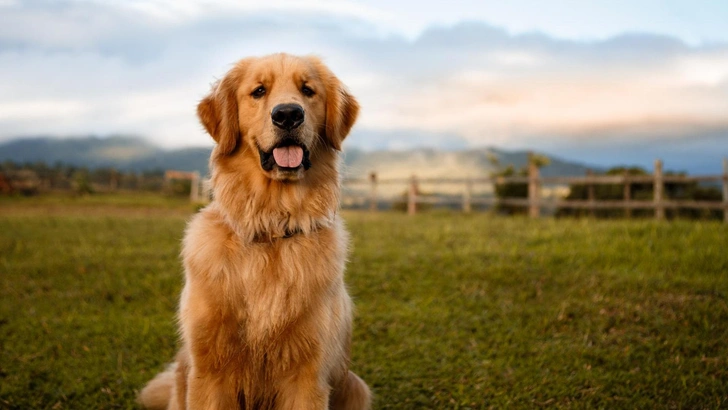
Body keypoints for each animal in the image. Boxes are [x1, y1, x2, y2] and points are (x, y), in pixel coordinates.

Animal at [138, 53, 370, 410]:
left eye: (308, 90)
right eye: (259, 91)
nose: (288, 114)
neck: (271, 226)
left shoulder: (308, 376)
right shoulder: (209, 372)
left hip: (356, 387)